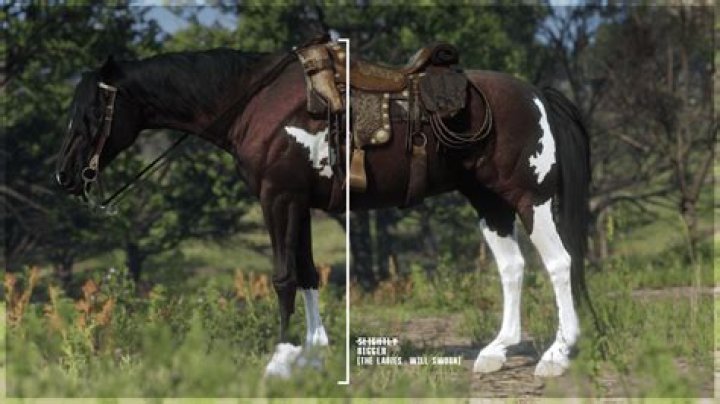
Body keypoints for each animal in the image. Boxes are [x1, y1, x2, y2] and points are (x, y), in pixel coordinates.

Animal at [55, 44, 594, 378]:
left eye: (91, 113)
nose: (65, 176)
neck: (256, 104)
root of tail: (537, 94)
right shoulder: (300, 203)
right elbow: (309, 273)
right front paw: (315, 353)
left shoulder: (277, 198)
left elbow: (283, 279)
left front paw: (278, 361)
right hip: (488, 200)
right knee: (513, 267)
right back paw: (496, 353)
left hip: (529, 196)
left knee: (558, 263)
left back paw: (557, 355)